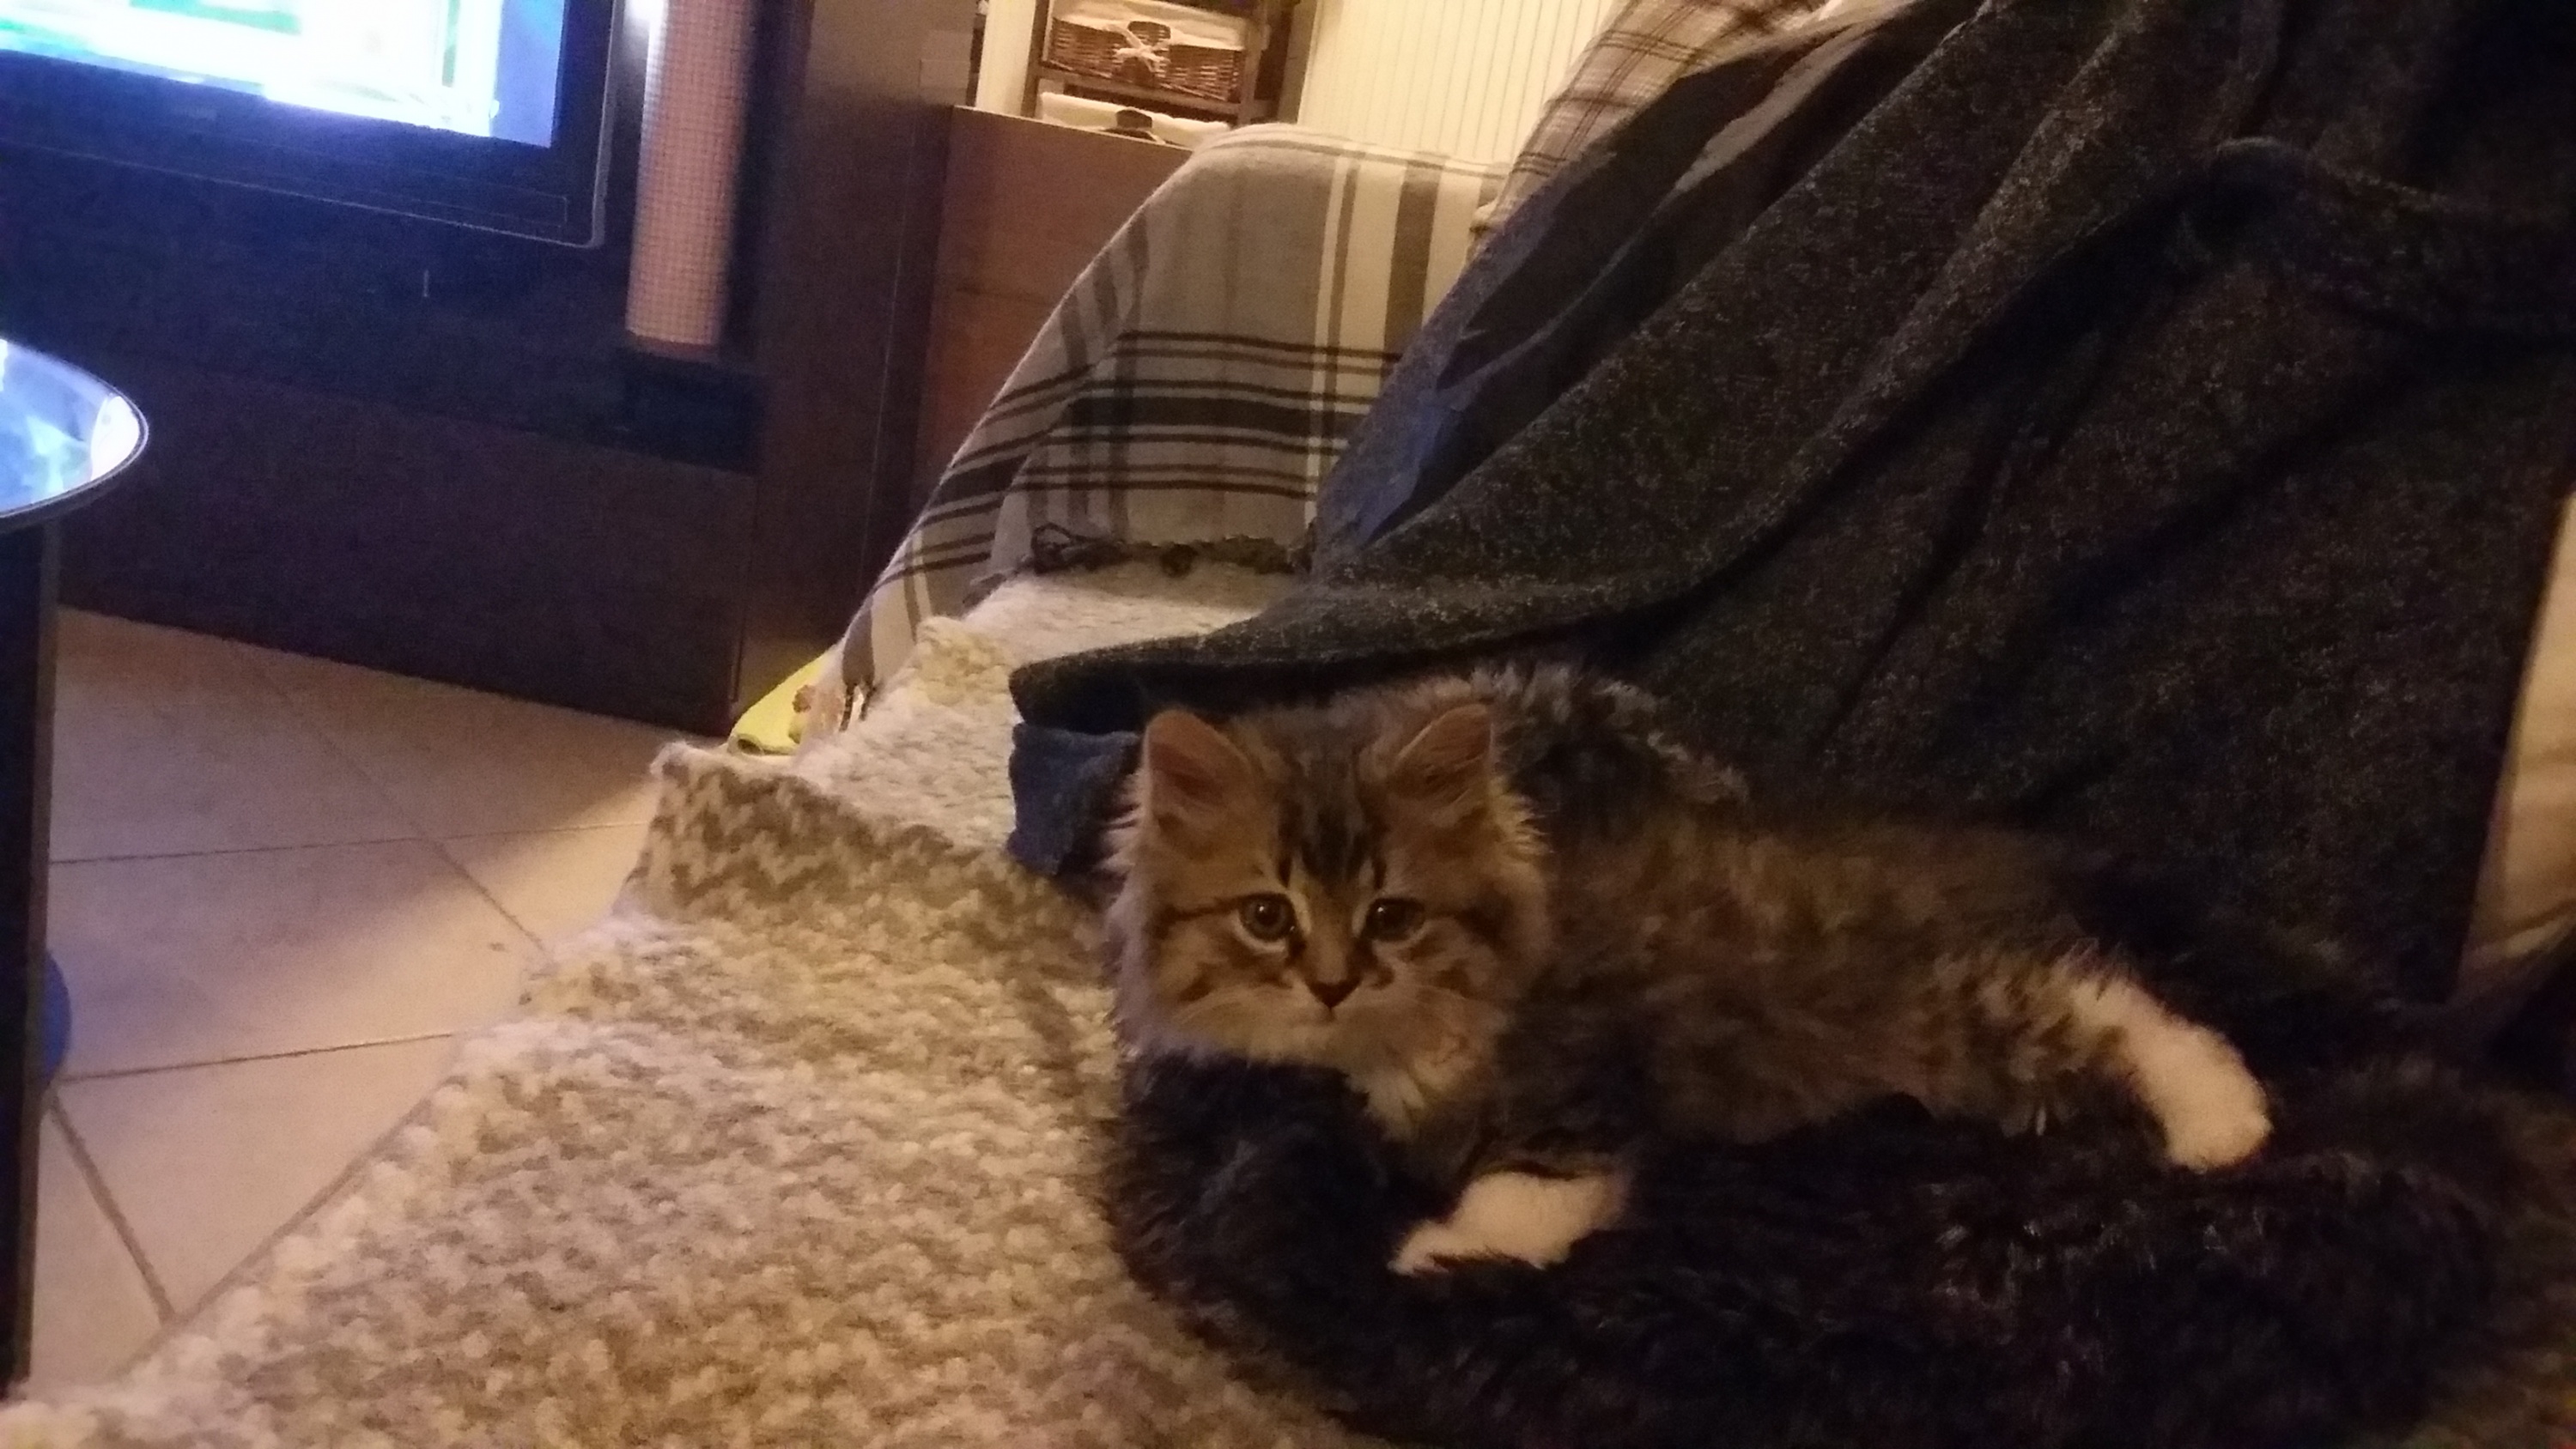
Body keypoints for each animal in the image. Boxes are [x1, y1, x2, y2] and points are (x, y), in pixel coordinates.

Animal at [1102, 666, 2274, 1277]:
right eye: (1268, 916)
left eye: (1392, 915)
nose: (1334, 981)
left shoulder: (1579, 1091)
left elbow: (1529, 1200)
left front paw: (1435, 1250)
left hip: (1957, 1011)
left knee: (2131, 1009)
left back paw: (2225, 1123)